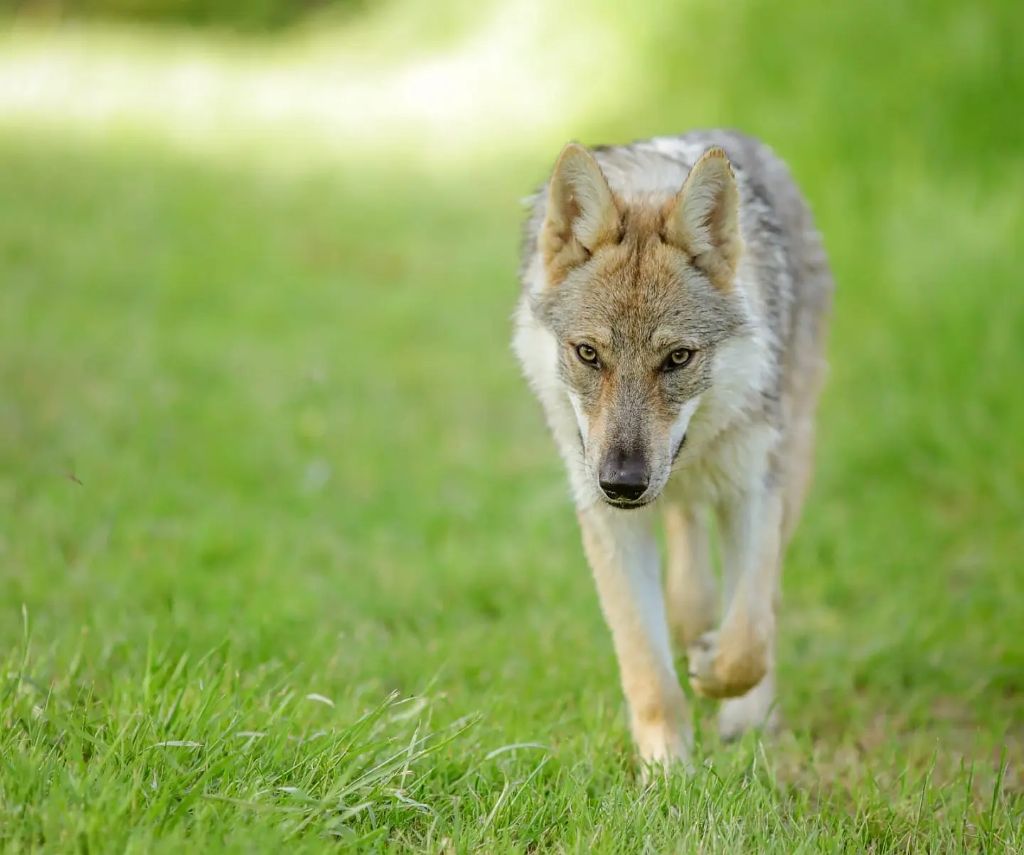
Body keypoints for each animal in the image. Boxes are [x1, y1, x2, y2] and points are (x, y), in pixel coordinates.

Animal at [512, 130, 831, 765]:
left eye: (677, 358)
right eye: (589, 354)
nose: (622, 483)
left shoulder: (754, 492)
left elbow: (750, 635)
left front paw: (727, 692)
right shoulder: (609, 521)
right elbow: (646, 664)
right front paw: (667, 766)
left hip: (791, 463)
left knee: (763, 596)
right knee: (687, 542)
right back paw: (691, 618)